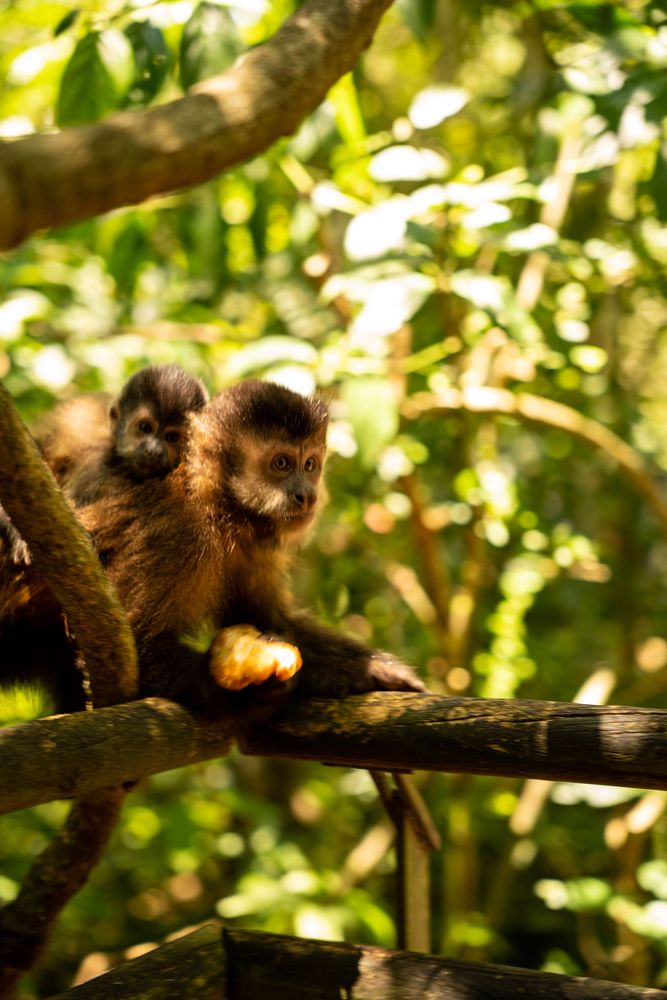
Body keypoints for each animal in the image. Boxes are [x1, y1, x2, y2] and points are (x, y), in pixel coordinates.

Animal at [73, 379, 425, 717]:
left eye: (310, 465)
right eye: (281, 464)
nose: (307, 496)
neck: (220, 513)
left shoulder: (254, 551)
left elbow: (269, 619)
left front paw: (368, 668)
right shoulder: (178, 536)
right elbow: (136, 645)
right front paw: (249, 694)